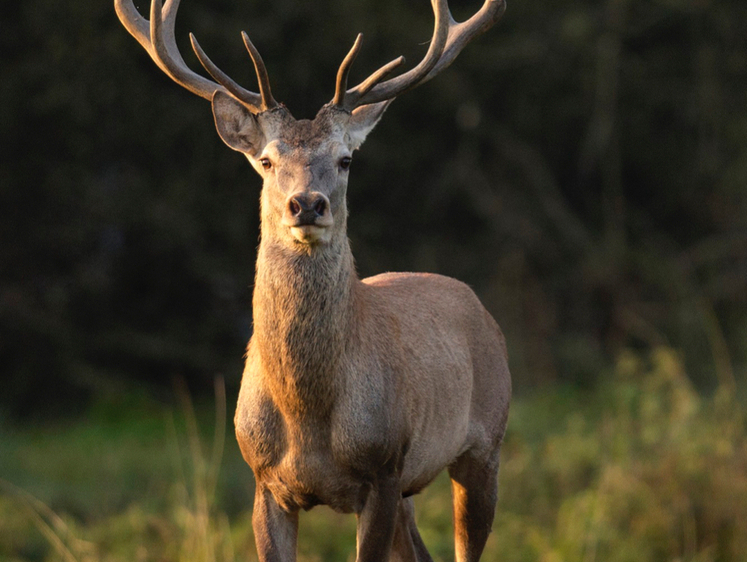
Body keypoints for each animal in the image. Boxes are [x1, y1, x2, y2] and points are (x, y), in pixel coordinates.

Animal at [114, 0, 512, 556]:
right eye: (266, 159)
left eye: (345, 160)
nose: (306, 204)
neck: (306, 416)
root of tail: (479, 307)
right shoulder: (264, 480)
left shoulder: (383, 467)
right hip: (414, 489)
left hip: (485, 444)